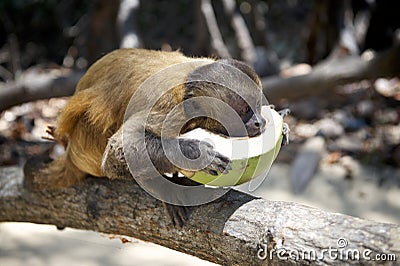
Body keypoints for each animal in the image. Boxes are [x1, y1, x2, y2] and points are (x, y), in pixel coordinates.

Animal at [23, 48, 270, 225]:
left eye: (258, 106)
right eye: (245, 110)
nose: (260, 122)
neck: (189, 89)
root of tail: (70, 152)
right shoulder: (170, 106)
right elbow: (117, 152)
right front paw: (197, 153)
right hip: (86, 144)